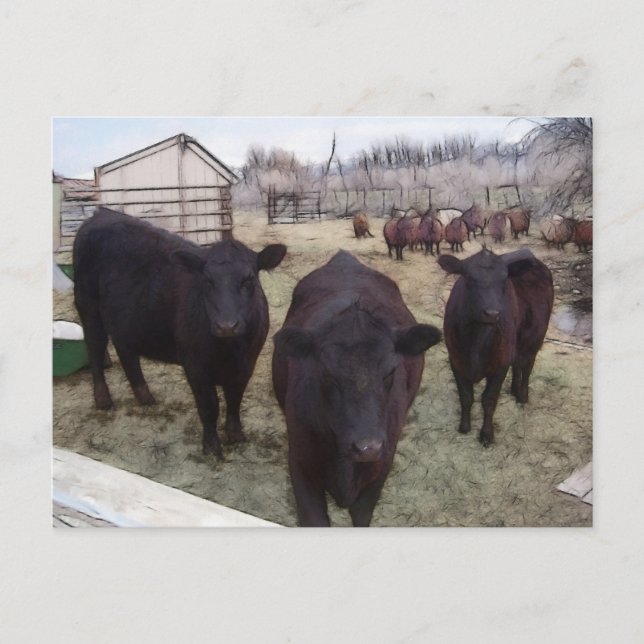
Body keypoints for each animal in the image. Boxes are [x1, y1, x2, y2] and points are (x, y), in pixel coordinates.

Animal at [73, 206, 287, 457]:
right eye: (206, 279)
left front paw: (236, 435)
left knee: (126, 351)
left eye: (249, 279)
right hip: (87, 305)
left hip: (125, 319)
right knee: (94, 347)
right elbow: (209, 406)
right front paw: (211, 446)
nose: (226, 326)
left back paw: (144, 395)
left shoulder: (246, 364)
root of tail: (102, 213)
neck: (230, 350)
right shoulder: (195, 365)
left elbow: (235, 398)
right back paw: (103, 399)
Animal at [438, 248, 553, 447]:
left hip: (535, 339)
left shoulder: (500, 366)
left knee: (527, 366)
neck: (476, 339)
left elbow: (489, 400)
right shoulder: (456, 361)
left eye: (504, 279)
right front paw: (464, 426)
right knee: (517, 365)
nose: (492, 313)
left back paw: (522, 396)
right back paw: (514, 389)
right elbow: (466, 397)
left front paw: (486, 434)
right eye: (469, 278)